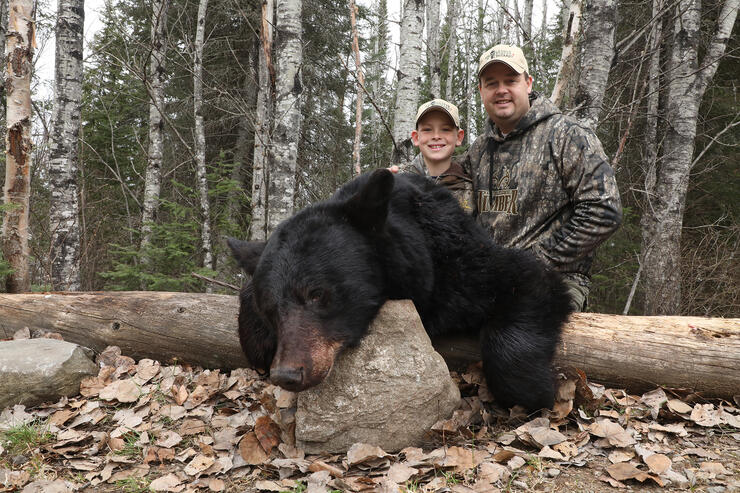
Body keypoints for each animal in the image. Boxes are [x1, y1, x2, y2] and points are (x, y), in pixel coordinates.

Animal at [228, 169, 576, 412]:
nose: (287, 374)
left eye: (317, 294)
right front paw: (258, 339)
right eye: (269, 309)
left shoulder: (463, 266)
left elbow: (528, 278)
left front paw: (534, 390)